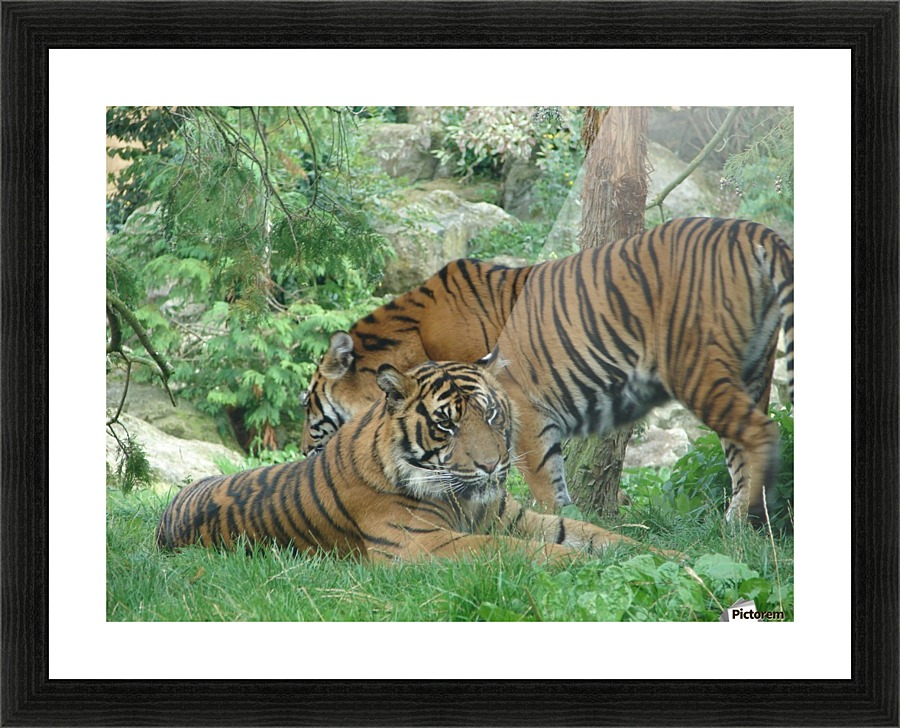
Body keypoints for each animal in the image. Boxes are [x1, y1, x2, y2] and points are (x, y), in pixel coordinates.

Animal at [158, 356, 666, 562]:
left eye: (491, 414)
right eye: (446, 425)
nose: (491, 467)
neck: (466, 501)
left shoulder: (515, 518)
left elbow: (598, 535)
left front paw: (670, 557)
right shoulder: (423, 543)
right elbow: (510, 551)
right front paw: (582, 565)